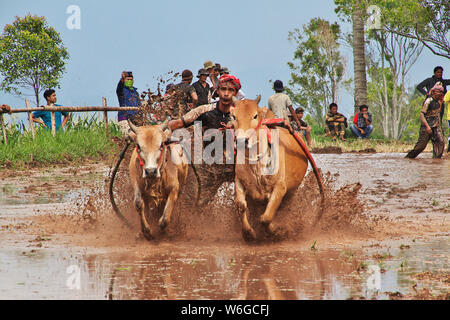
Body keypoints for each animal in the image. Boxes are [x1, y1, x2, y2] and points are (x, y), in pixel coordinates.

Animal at [230, 97, 322, 240]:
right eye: (234, 116)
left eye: (255, 116)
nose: (240, 141)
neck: (257, 164)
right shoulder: (239, 181)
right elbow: (241, 205)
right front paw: (248, 233)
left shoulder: (280, 187)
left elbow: (266, 217)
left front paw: (276, 231)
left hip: (292, 191)